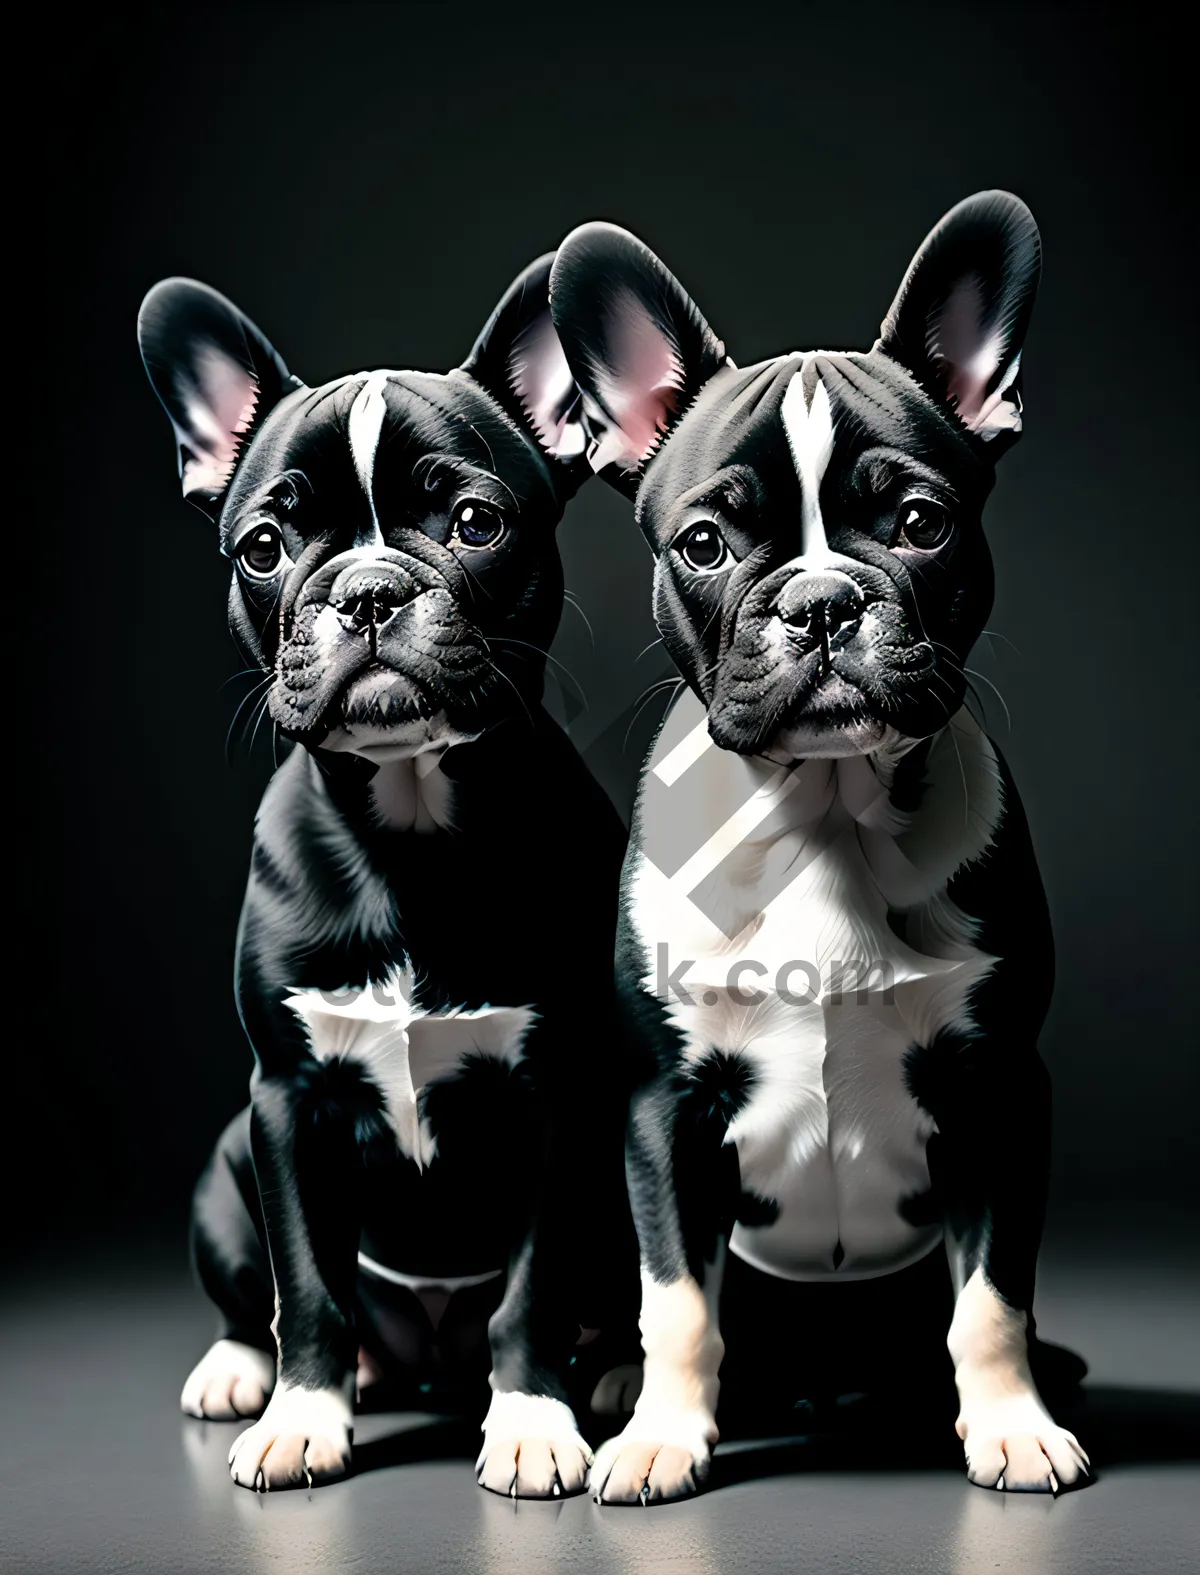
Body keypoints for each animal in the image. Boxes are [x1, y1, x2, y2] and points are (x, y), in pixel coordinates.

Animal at [135, 252, 629, 1493]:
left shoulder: (559, 1103)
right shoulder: (286, 1103)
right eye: (265, 548)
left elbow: (533, 1287)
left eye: (475, 522)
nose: (365, 589)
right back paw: (248, 1372)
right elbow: (307, 1284)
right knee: (267, 1298)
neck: (408, 822)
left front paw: (533, 1421)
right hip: (226, 1166)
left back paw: (611, 1371)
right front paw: (304, 1416)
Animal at [548, 193, 1089, 1499]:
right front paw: (661, 1437)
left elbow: (992, 1296)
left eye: (921, 525)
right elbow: (678, 1299)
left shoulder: (1002, 1091)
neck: (824, 817)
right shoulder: (665, 1106)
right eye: (704, 545)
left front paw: (1012, 1424)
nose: (824, 601)